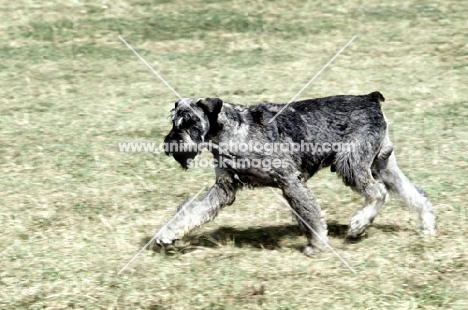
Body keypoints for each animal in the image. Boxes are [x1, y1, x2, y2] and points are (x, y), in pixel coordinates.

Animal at [156, 92, 436, 256]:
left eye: (190, 121)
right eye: (173, 120)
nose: (169, 144)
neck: (232, 132)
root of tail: (370, 99)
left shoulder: (290, 181)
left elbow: (310, 215)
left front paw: (317, 245)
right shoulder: (224, 188)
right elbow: (193, 212)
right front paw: (166, 234)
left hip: (350, 165)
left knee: (378, 192)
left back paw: (359, 225)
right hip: (382, 164)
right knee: (414, 193)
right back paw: (427, 226)